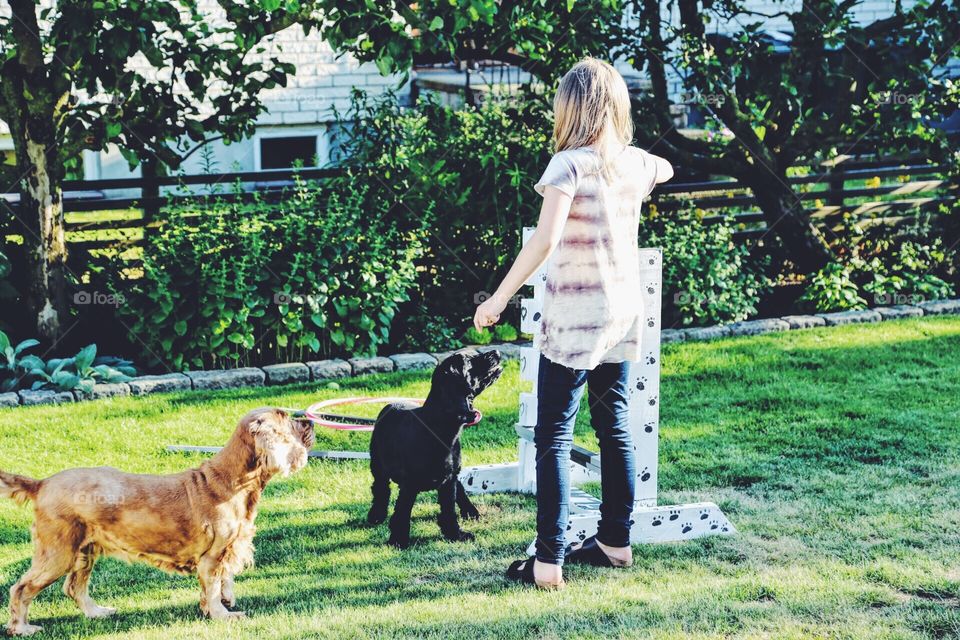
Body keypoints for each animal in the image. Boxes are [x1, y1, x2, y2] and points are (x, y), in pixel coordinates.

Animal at [0, 408, 314, 636]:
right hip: (58, 551)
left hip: (84, 550)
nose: (309, 422)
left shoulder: (229, 548)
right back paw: (22, 628)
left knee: (74, 587)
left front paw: (224, 603)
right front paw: (223, 615)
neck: (233, 481)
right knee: (21, 588)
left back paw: (98, 612)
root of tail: (42, 483)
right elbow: (213, 589)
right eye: (286, 419)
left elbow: (225, 582)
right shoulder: (211, 557)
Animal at [366, 348, 502, 548]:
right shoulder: (410, 485)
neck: (440, 426)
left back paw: (470, 511)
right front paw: (398, 540)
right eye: (469, 361)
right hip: (378, 465)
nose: (496, 351)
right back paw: (376, 515)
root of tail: (390, 404)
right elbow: (402, 512)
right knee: (380, 488)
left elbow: (449, 509)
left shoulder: (449, 480)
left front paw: (455, 534)